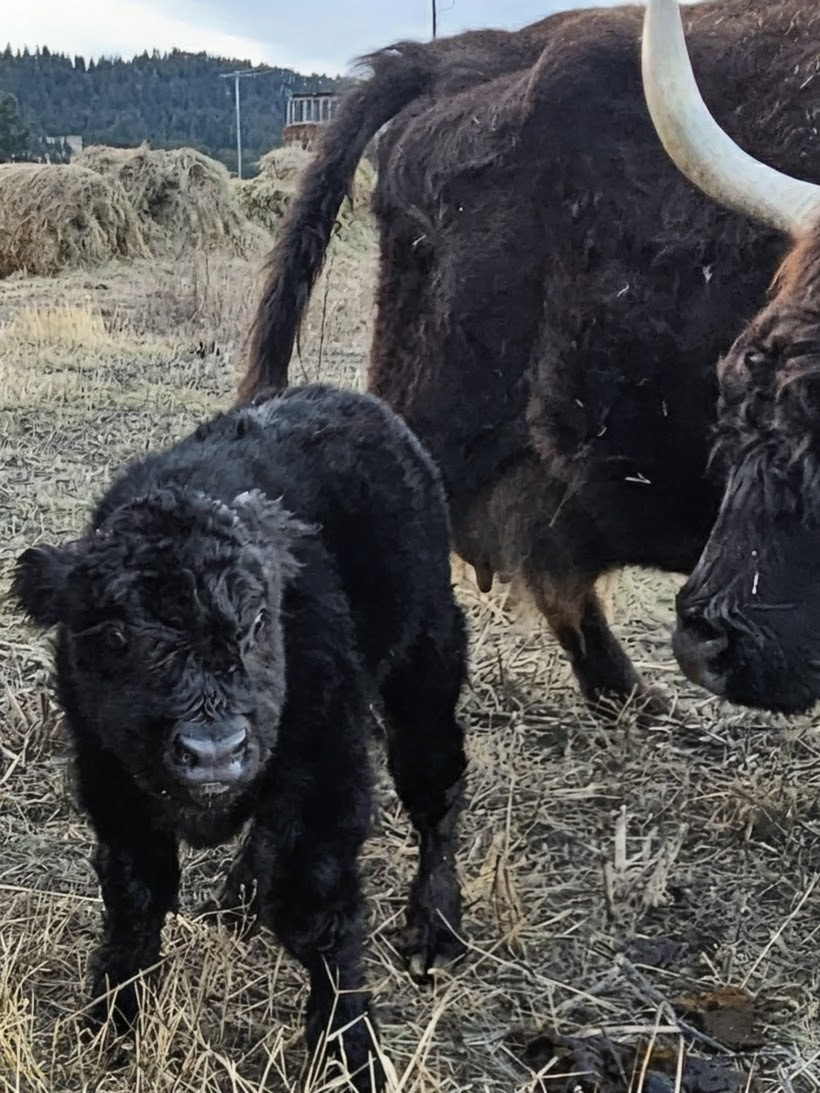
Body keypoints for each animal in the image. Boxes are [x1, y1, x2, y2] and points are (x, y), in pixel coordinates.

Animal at [11, 384, 469, 1092]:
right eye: (115, 633)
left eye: (257, 621)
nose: (212, 753)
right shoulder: (112, 786)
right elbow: (135, 901)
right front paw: (109, 1024)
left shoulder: (330, 781)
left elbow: (321, 917)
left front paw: (350, 1056)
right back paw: (241, 898)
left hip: (426, 666)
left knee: (437, 791)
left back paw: (434, 930)